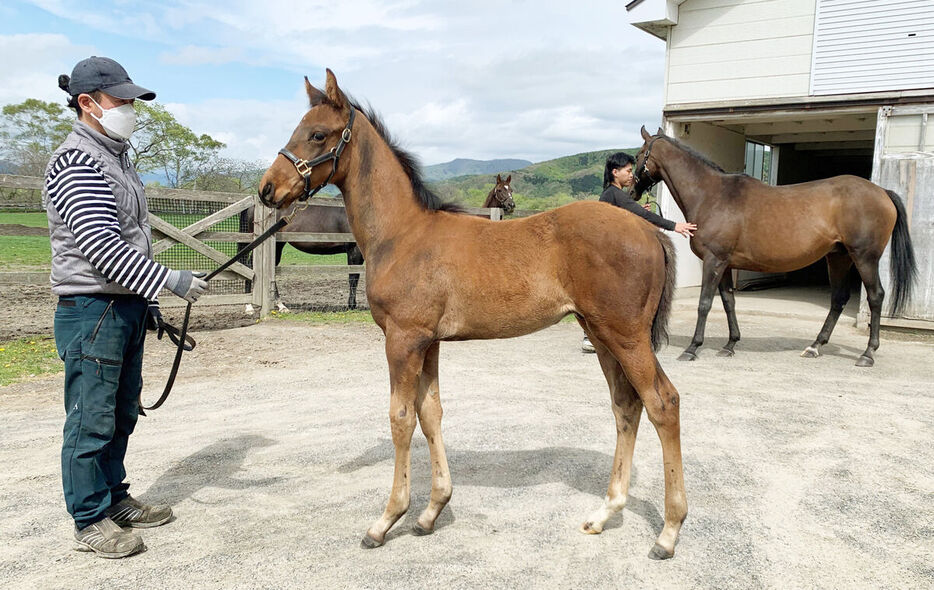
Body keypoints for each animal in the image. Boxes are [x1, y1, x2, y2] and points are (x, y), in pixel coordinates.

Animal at [260, 71, 692, 560]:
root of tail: (648, 230)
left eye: (317, 134)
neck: (404, 234)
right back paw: (605, 513)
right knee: (626, 405)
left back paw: (668, 531)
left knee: (663, 403)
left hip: (626, 335)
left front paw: (387, 519)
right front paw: (431, 512)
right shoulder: (427, 343)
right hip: (600, 335)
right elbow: (430, 413)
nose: (267, 189)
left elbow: (400, 419)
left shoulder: (402, 340)